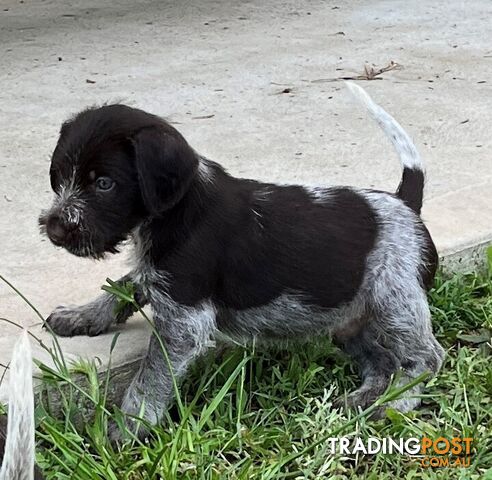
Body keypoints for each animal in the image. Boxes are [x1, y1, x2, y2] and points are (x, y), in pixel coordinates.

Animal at [38, 83, 446, 438]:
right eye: (59, 177)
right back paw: (366, 398)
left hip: (395, 302)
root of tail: (405, 203)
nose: (53, 228)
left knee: (425, 358)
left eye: (104, 184)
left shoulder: (184, 321)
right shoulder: (161, 277)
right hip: (347, 320)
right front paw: (83, 315)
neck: (179, 208)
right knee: (384, 361)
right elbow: (123, 285)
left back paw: (395, 404)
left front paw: (127, 428)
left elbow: (150, 377)